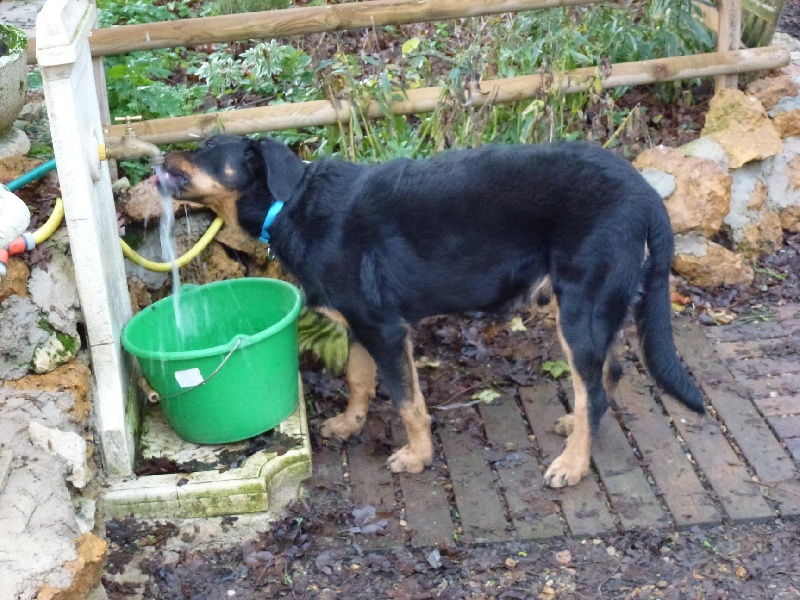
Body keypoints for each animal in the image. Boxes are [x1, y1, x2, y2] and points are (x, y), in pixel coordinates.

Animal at [158, 136, 708, 488]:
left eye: (207, 147)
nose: (159, 155)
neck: (291, 204)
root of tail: (645, 193)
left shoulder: (384, 329)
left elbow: (407, 402)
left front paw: (417, 457)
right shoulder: (358, 326)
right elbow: (358, 381)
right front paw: (349, 425)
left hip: (579, 310)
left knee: (592, 390)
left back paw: (572, 464)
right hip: (589, 312)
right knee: (607, 375)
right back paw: (575, 429)